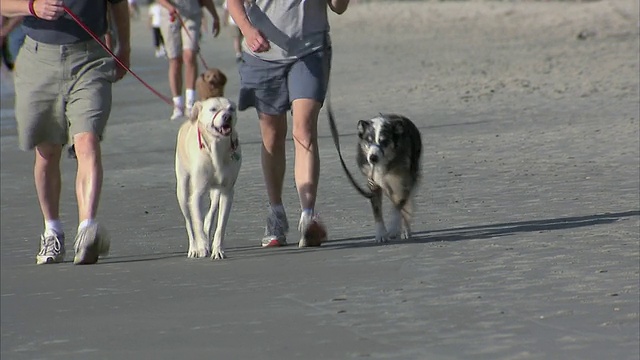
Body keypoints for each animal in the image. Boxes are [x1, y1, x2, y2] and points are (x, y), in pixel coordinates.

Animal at [174, 95, 241, 258]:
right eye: (213, 109)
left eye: (231, 108)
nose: (227, 116)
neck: (216, 149)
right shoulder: (197, 194)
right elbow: (196, 221)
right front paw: (202, 245)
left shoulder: (227, 192)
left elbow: (220, 225)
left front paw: (218, 250)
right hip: (182, 190)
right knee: (189, 221)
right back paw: (194, 247)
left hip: (215, 192)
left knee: (210, 215)